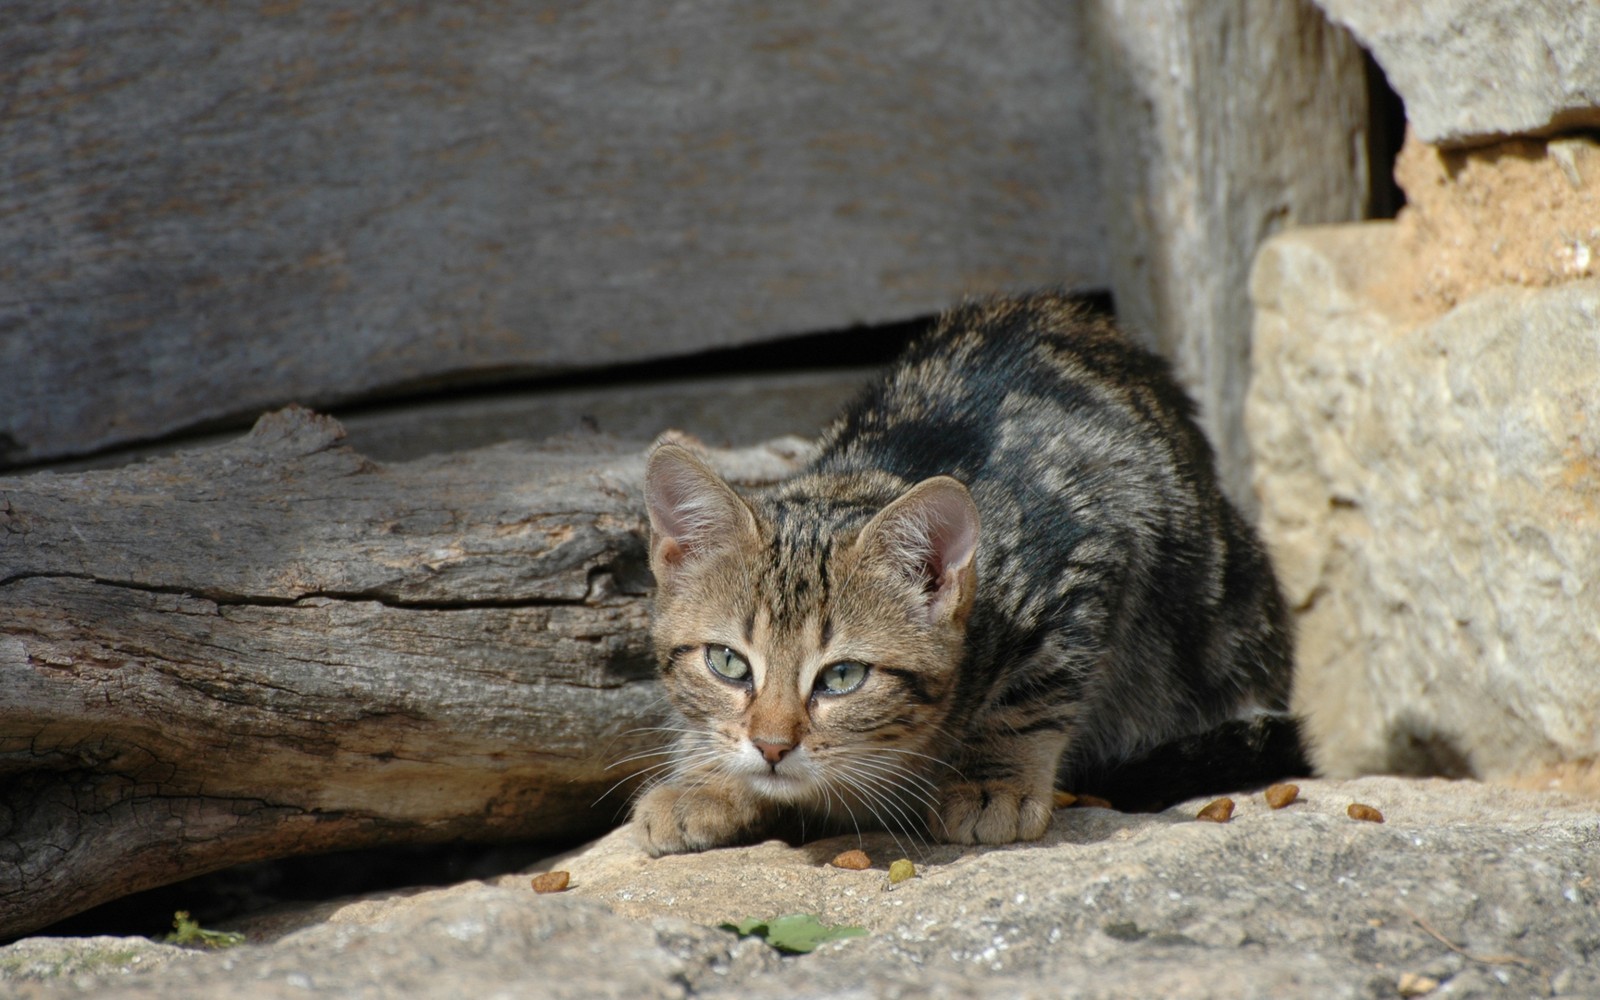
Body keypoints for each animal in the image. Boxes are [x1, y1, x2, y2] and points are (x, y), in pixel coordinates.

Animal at [630, 292, 1292, 851]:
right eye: (728, 663)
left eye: (842, 676)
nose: (771, 747)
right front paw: (707, 782)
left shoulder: (1088, 551)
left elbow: (1031, 692)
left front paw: (990, 781)